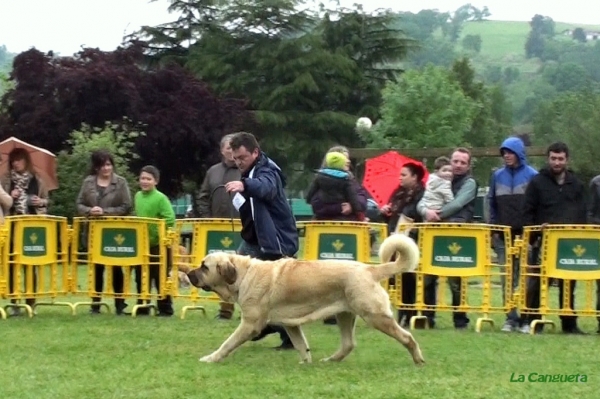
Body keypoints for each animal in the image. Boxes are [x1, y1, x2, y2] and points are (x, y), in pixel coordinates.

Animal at [185, 234, 424, 368]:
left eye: (204, 267)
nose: (188, 273)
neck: (243, 274)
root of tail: (370, 269)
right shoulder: (291, 325)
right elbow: (302, 346)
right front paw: (305, 363)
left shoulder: (250, 325)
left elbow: (227, 343)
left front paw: (211, 358)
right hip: (344, 315)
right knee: (348, 344)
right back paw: (330, 361)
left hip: (375, 316)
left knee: (407, 337)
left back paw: (418, 360)